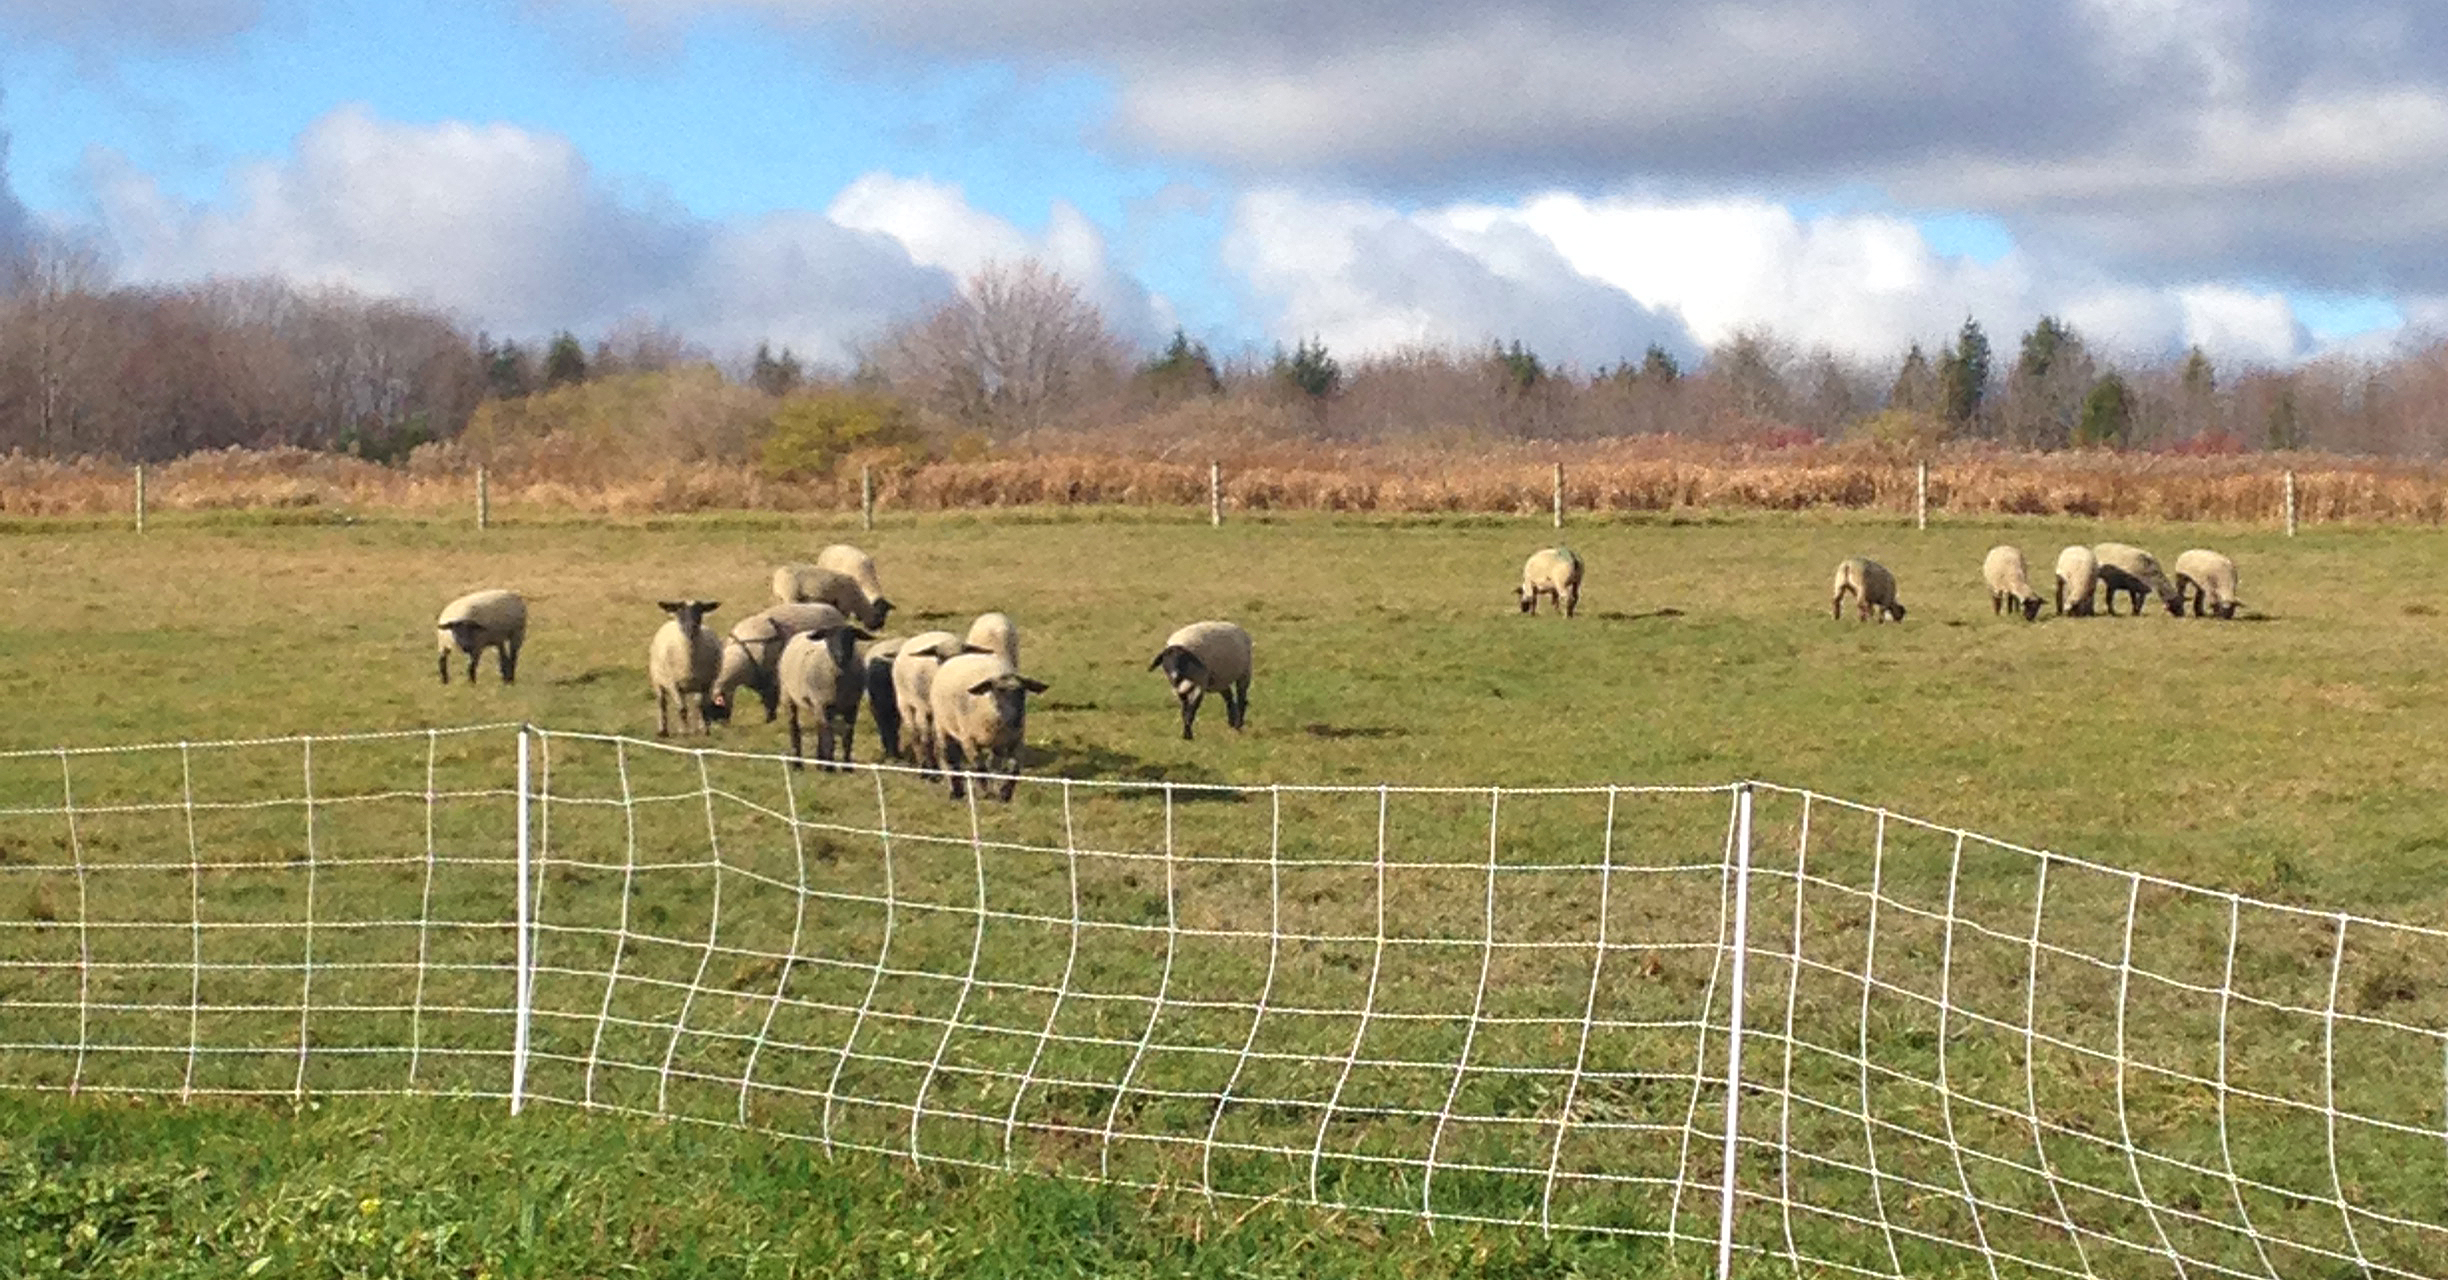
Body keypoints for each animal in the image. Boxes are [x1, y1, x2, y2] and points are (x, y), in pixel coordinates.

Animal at [646, 602, 719, 739]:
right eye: (680, 611)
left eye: (700, 610)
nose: (691, 627)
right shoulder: (672, 683)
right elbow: (682, 708)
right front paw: (685, 731)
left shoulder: (706, 683)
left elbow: (701, 706)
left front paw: (704, 730)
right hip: (658, 680)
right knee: (662, 703)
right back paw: (663, 731)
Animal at [709, 604, 851, 719]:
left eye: (716, 707)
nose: (722, 726)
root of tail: (834, 610)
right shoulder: (758, 680)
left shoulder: (771, 677)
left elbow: (770, 699)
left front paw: (770, 718)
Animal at [783, 626, 871, 768]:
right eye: (829, 638)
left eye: (851, 637)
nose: (840, 656)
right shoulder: (824, 704)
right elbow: (829, 737)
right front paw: (830, 767)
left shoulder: (852, 706)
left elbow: (848, 736)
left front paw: (847, 767)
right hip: (788, 695)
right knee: (794, 727)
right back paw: (798, 763)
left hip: (817, 704)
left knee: (819, 727)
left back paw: (819, 762)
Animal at [920, 660, 1047, 802]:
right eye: (998, 691)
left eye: (1022, 691)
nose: (1017, 719)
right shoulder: (968, 740)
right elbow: (979, 768)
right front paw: (987, 793)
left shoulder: (1015, 740)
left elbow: (1013, 768)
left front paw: (1005, 794)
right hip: (943, 726)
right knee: (949, 757)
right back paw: (956, 791)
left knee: (990, 763)